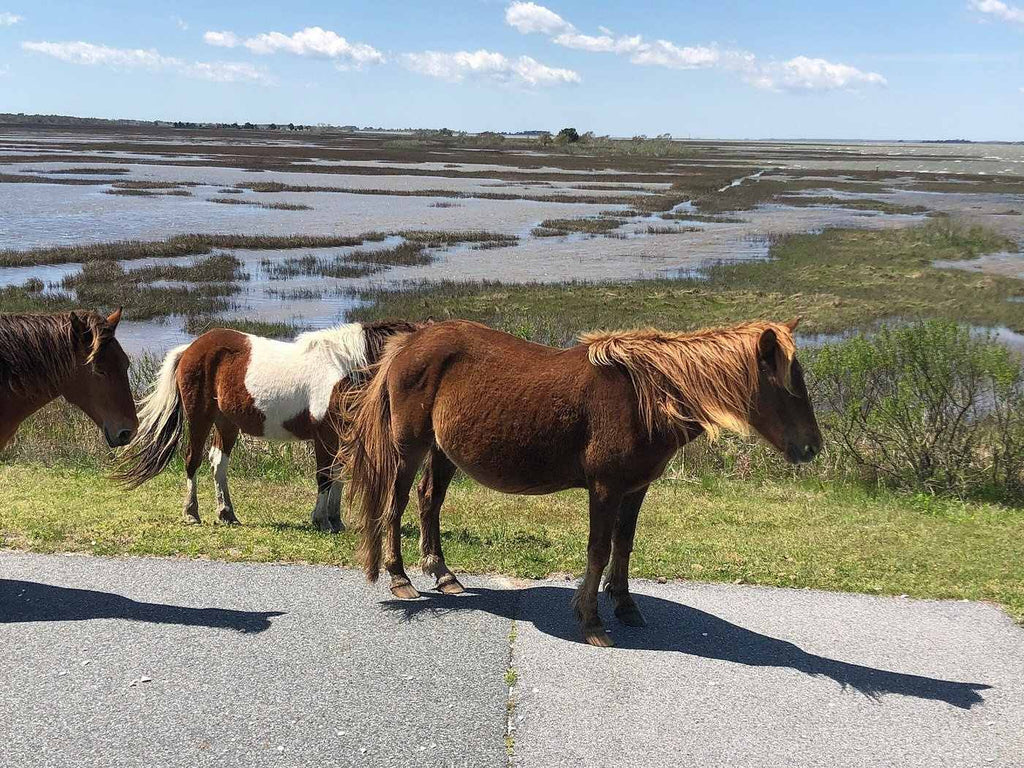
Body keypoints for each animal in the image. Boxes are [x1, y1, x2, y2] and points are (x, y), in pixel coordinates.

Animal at [113, 321, 415, 532]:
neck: (342, 369)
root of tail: (190, 349)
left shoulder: (342, 436)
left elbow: (338, 474)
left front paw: (335, 519)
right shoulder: (324, 436)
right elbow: (324, 476)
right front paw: (321, 520)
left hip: (227, 423)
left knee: (218, 463)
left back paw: (227, 514)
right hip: (200, 418)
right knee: (192, 461)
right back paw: (191, 513)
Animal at [344, 319, 823, 651]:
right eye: (787, 386)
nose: (812, 447)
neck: (645, 397)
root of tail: (410, 341)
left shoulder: (635, 489)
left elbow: (623, 546)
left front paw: (626, 604)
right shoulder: (605, 488)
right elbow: (598, 549)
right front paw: (592, 620)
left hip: (444, 451)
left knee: (430, 500)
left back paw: (444, 574)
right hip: (410, 447)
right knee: (396, 504)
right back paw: (399, 576)